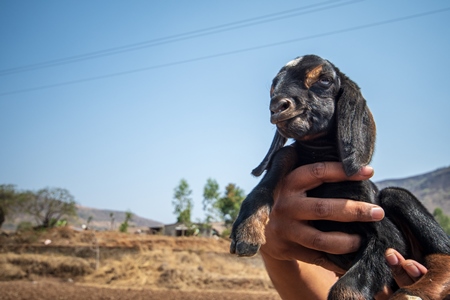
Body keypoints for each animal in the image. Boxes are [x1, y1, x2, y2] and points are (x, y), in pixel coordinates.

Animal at [230, 55, 450, 298]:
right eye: (273, 85)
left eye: (324, 80)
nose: (277, 106)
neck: (319, 155)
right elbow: (282, 157)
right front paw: (247, 228)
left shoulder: (388, 238)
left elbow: (346, 287)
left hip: (397, 198)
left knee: (443, 251)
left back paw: (414, 292)